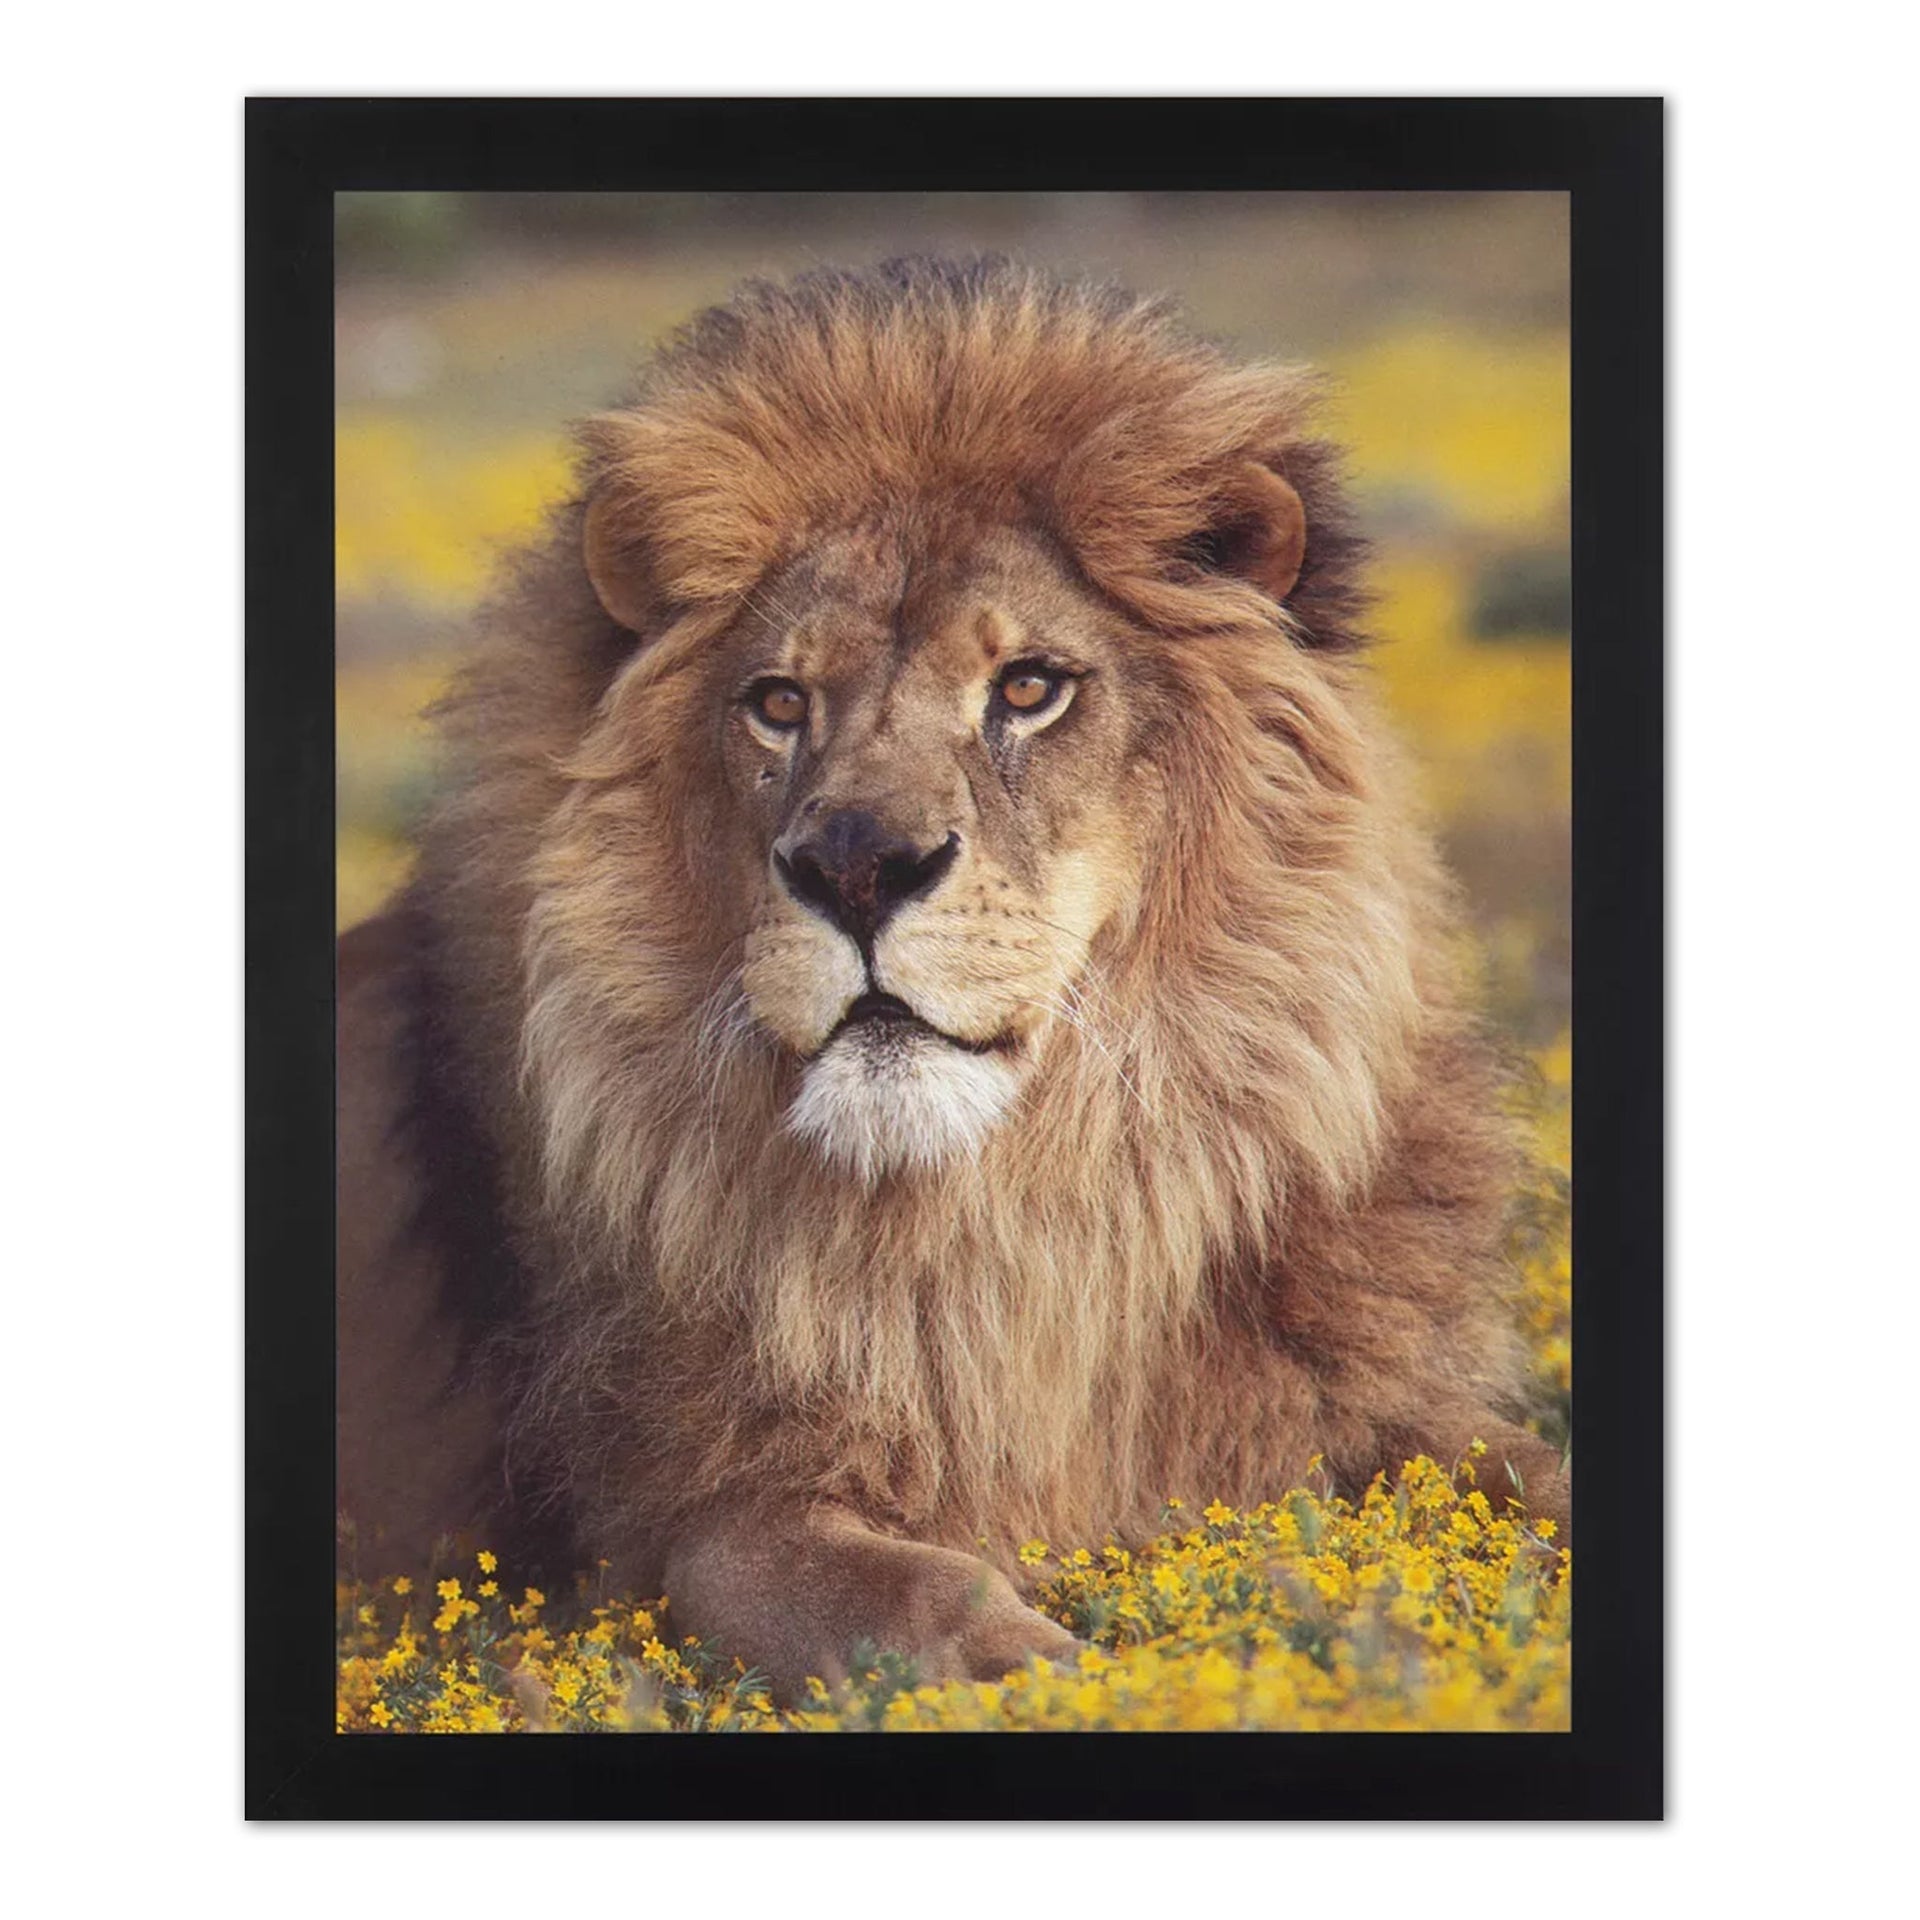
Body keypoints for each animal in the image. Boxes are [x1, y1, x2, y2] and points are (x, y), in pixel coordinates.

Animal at [337, 257, 1570, 1699]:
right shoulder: (677, 1534)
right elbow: (903, 1589)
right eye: (779, 704)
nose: (856, 865)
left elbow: (1529, 1471)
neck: (1008, 1232)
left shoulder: (1373, 1403)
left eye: (1029, 687)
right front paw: (1088, 1679)